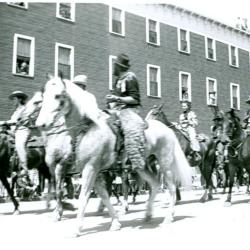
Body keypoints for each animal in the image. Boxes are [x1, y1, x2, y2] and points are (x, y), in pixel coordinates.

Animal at [35, 75, 191, 235]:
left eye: (57, 95)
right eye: (44, 96)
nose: (40, 124)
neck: (88, 128)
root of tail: (168, 129)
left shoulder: (89, 168)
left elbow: (83, 196)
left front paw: (76, 228)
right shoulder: (94, 171)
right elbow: (103, 196)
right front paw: (115, 222)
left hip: (165, 164)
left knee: (171, 187)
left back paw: (168, 217)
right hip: (142, 166)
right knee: (154, 184)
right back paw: (147, 213)